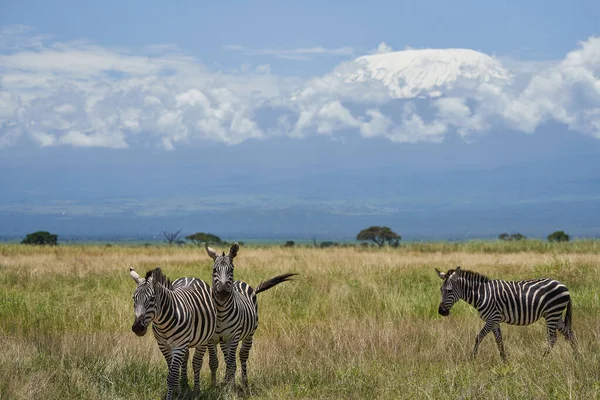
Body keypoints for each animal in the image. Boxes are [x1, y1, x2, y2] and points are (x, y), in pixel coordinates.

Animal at [129, 266, 218, 400]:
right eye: (134, 298)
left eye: (152, 298)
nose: (138, 328)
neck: (163, 324)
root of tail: (190, 277)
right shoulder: (163, 345)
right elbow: (172, 373)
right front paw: (178, 392)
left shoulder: (179, 346)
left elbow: (172, 375)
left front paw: (173, 395)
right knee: (185, 359)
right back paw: (185, 384)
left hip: (203, 340)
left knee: (197, 363)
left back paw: (197, 390)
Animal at [204, 241, 298, 388]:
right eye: (214, 270)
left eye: (231, 270)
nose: (223, 292)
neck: (220, 313)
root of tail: (241, 283)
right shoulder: (211, 339)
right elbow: (214, 363)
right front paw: (214, 386)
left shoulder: (234, 337)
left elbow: (231, 363)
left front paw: (230, 388)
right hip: (225, 339)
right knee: (227, 357)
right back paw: (227, 380)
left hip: (249, 334)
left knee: (242, 356)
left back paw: (244, 382)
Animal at [436, 266, 576, 360]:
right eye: (441, 290)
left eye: (449, 290)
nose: (441, 312)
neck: (483, 294)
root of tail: (564, 286)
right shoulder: (494, 320)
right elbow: (499, 340)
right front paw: (504, 361)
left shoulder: (493, 318)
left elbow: (479, 337)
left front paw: (472, 358)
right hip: (555, 315)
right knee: (570, 334)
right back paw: (577, 357)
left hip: (552, 313)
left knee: (552, 338)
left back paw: (542, 359)